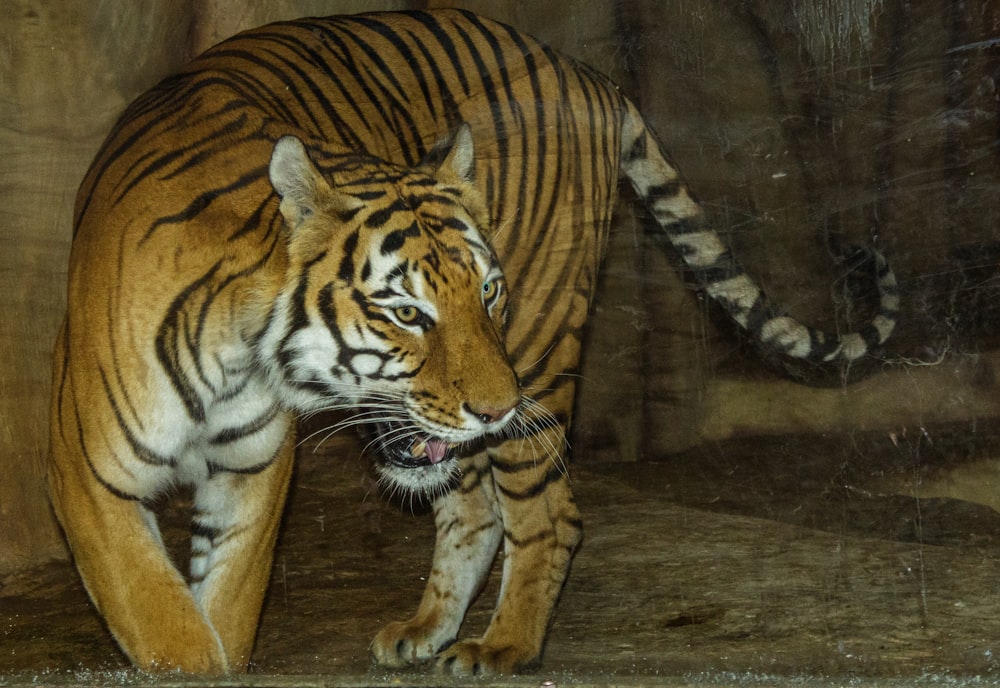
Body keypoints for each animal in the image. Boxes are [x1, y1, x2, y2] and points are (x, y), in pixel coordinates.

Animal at [48, 6, 900, 676]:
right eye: (406, 312)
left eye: (487, 292)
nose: (496, 408)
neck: (238, 357)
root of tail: (589, 73)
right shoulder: (93, 475)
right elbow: (172, 626)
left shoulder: (252, 472)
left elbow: (212, 617)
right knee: (473, 506)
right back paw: (427, 632)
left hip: (542, 345)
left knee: (549, 513)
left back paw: (504, 646)